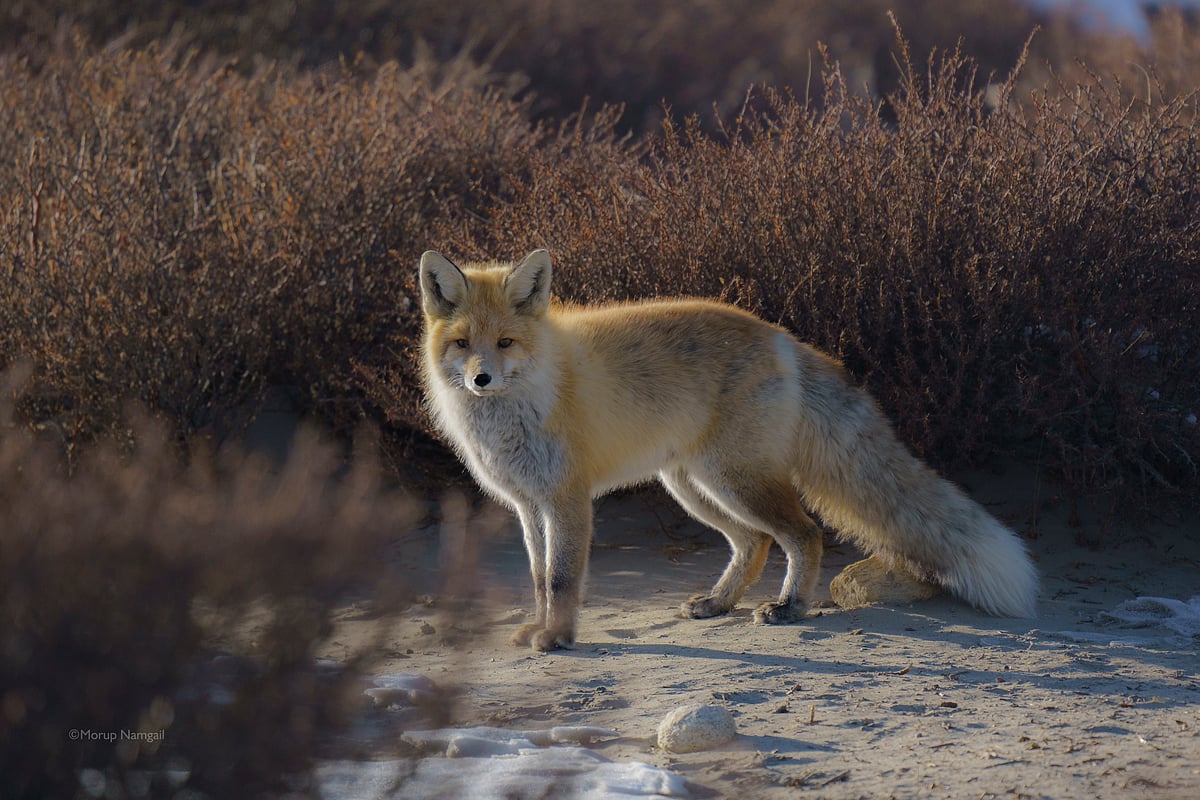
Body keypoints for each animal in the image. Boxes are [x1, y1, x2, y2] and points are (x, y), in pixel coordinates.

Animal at [418, 249, 1038, 652]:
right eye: (463, 344)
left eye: (505, 343)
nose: (480, 379)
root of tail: (779, 336)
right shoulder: (529, 506)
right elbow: (537, 577)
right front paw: (540, 627)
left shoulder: (568, 500)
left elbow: (562, 579)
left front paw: (559, 637)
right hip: (694, 486)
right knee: (755, 542)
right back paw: (719, 603)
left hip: (733, 479)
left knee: (803, 534)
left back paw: (789, 608)